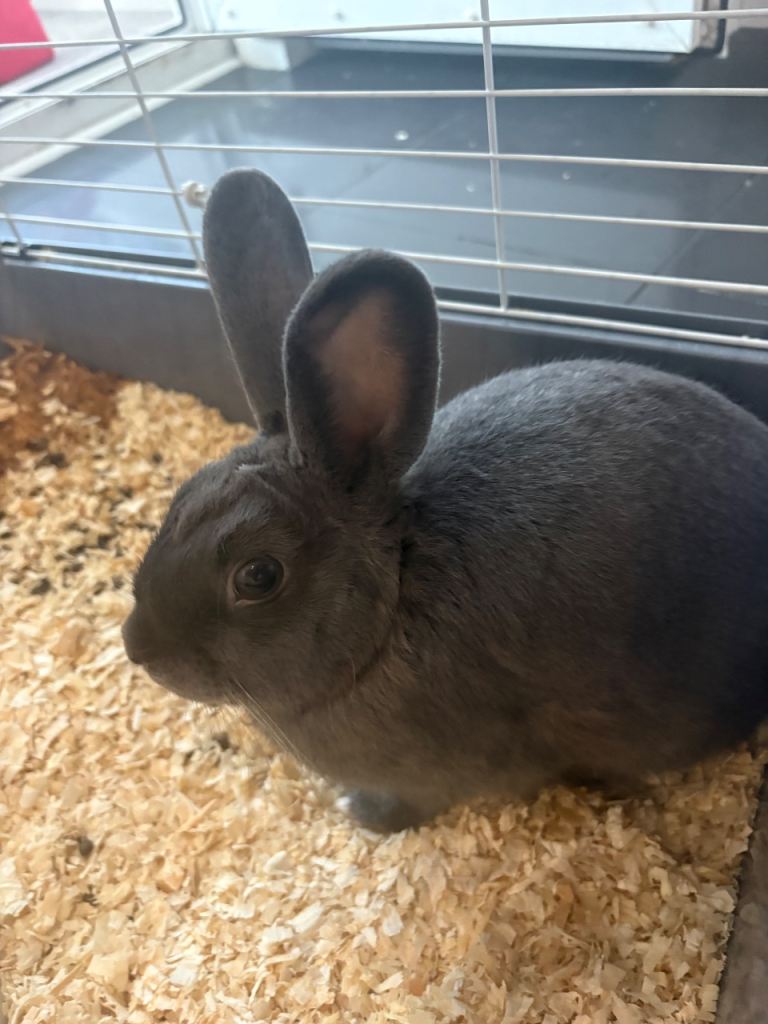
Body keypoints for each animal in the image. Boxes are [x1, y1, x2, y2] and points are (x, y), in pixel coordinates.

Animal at [123, 168, 768, 833]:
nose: (137, 647)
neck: (390, 606)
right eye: (182, 497)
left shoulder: (439, 774)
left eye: (258, 575)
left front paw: (363, 814)